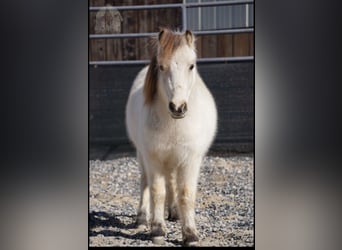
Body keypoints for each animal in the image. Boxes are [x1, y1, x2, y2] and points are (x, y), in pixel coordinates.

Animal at [125, 27, 216, 246]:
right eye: (161, 66)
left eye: (191, 65)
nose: (177, 107)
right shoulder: (154, 158)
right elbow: (157, 192)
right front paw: (157, 230)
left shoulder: (190, 160)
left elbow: (185, 194)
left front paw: (190, 234)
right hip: (143, 156)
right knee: (145, 183)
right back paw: (142, 219)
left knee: (171, 181)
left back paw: (174, 212)